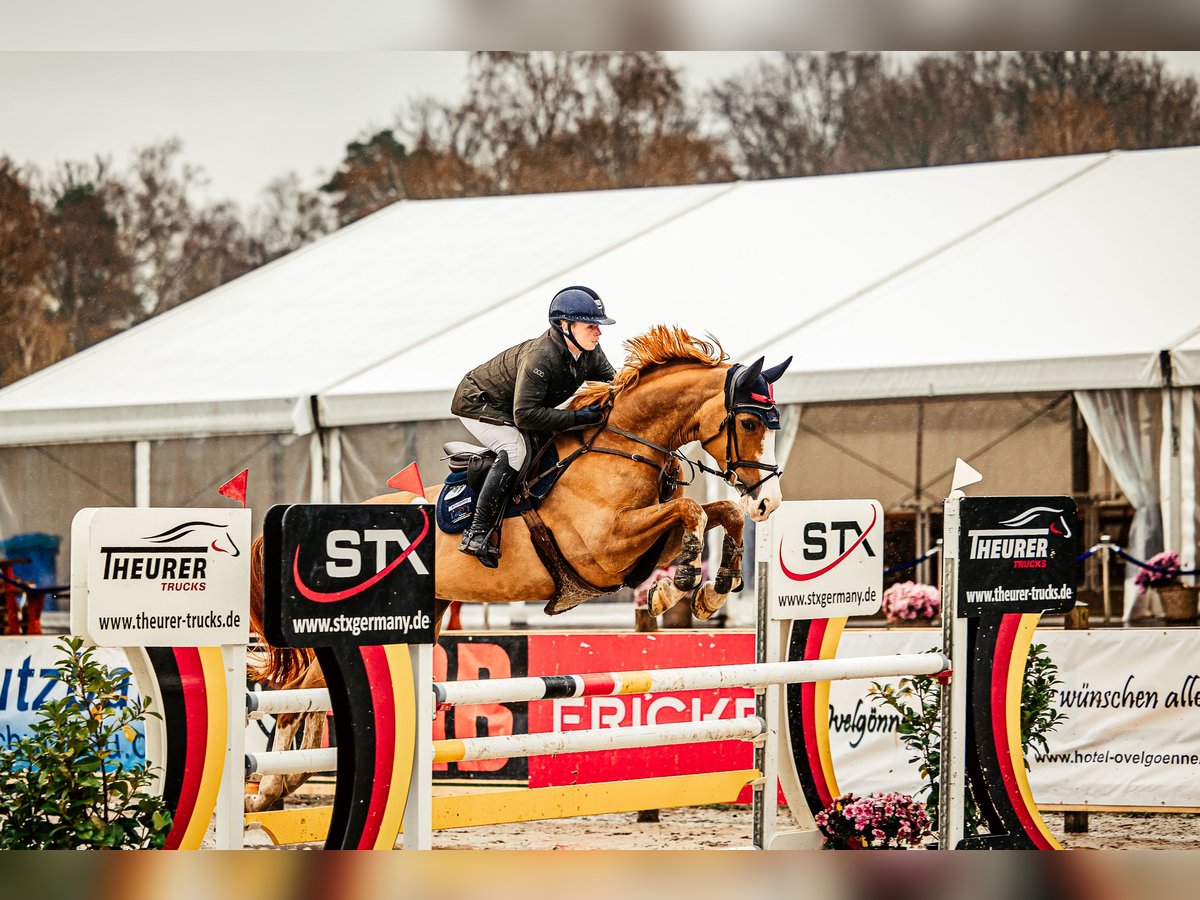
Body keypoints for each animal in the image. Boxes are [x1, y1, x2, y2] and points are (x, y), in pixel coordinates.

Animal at [243, 328, 787, 816]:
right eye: (748, 422)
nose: (769, 503)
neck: (623, 447)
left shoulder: (644, 546)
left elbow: (718, 512)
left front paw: (711, 591)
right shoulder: (605, 549)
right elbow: (691, 511)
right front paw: (684, 583)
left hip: (424, 616)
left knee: (313, 697)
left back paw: (282, 785)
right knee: (294, 696)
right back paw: (266, 790)